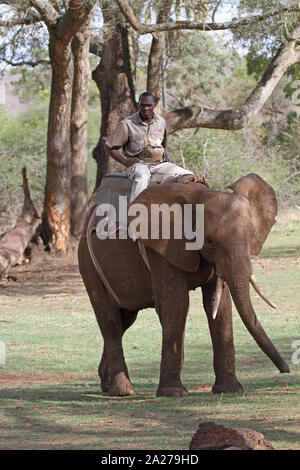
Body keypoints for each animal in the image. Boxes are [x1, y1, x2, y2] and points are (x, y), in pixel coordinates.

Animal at [78, 173, 290, 396]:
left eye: (250, 236)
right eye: (210, 241)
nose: (286, 370)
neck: (201, 196)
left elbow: (218, 305)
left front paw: (230, 391)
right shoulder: (161, 247)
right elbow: (176, 303)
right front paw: (174, 393)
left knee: (125, 320)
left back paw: (107, 385)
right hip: (87, 262)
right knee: (111, 321)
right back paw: (123, 391)